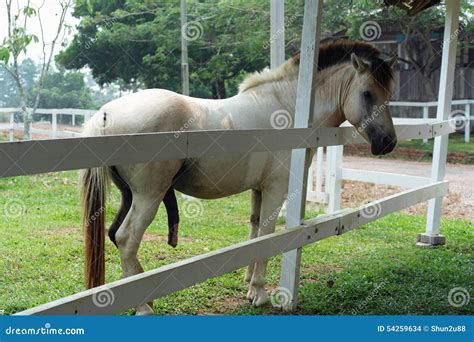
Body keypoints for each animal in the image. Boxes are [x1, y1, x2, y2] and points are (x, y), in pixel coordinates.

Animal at [80, 38, 396, 314]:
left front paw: (249, 282)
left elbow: (254, 231)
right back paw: (144, 307)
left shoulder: (258, 190)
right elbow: (266, 235)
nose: (388, 142)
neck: (288, 108)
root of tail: (106, 113)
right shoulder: (275, 190)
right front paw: (259, 293)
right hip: (148, 196)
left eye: (388, 95)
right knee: (126, 238)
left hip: (129, 195)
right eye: (367, 94)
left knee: (114, 234)